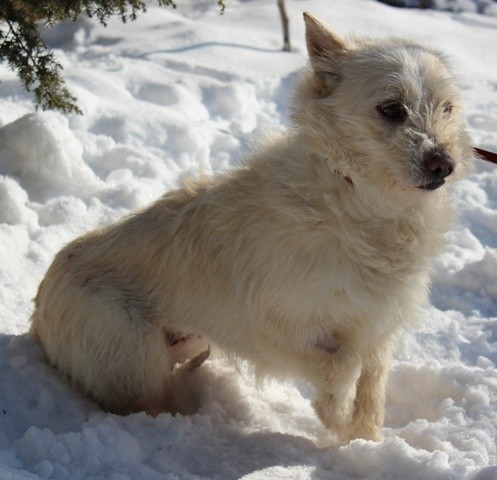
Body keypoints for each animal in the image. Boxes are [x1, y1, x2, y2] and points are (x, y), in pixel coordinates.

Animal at [31, 13, 472, 442]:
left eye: (446, 108)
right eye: (392, 109)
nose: (444, 165)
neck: (358, 199)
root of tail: (38, 308)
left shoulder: (378, 329)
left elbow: (372, 390)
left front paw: (362, 441)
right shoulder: (269, 327)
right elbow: (343, 365)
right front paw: (331, 416)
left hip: (183, 343)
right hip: (135, 358)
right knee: (147, 400)